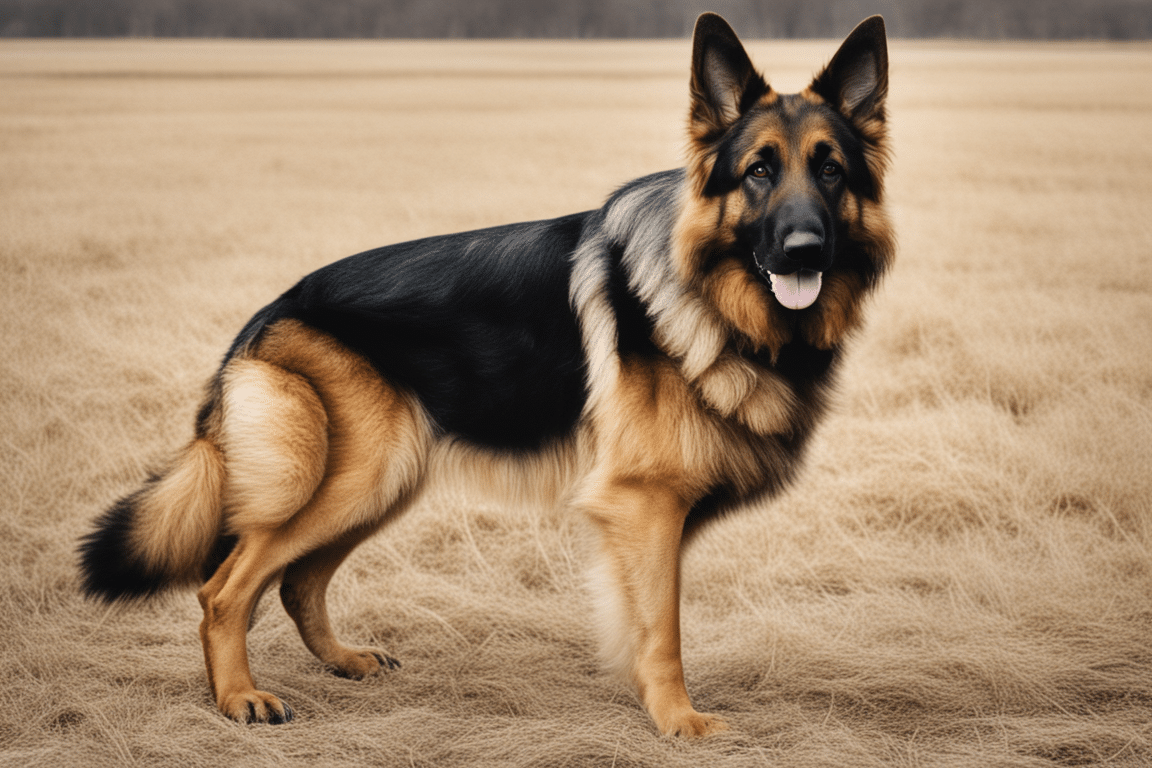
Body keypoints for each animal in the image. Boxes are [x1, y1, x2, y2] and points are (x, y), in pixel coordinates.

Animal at [81, 13, 889, 736]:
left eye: (830, 170)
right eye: (758, 172)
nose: (805, 250)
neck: (717, 298)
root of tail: (267, 315)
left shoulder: (650, 522)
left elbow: (643, 622)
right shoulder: (644, 507)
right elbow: (664, 630)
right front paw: (678, 721)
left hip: (383, 483)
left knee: (297, 581)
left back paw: (342, 661)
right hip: (352, 478)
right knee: (226, 590)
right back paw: (239, 698)